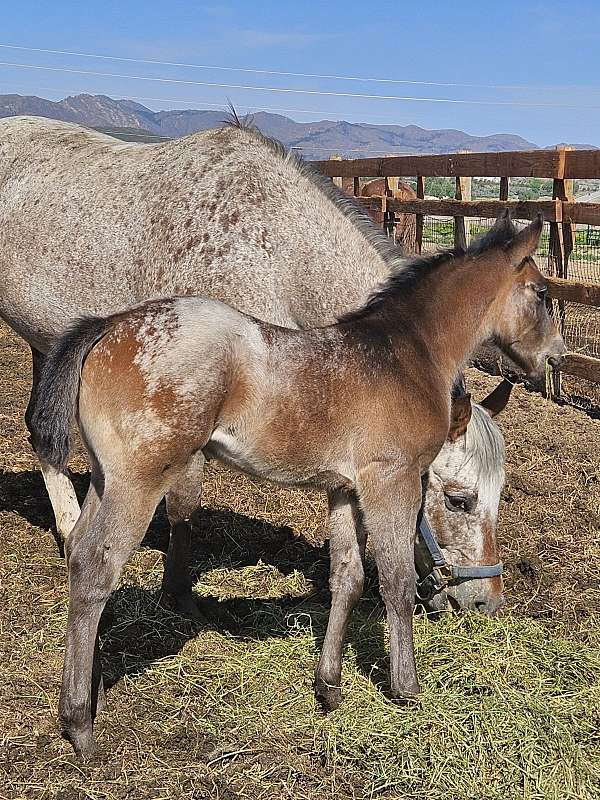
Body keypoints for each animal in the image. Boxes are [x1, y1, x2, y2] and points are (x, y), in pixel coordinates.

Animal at [2, 115, 505, 614]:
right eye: (459, 500)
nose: (485, 600)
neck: (272, 252)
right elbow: (184, 501)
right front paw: (179, 593)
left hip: (49, 343)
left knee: (42, 430)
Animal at [30, 211, 564, 757]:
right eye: (542, 293)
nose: (556, 358)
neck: (405, 356)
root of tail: (105, 327)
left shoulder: (345, 489)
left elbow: (348, 578)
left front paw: (329, 687)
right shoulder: (390, 480)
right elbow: (394, 582)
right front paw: (408, 690)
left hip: (105, 479)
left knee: (77, 549)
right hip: (137, 484)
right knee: (96, 570)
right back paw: (79, 724)